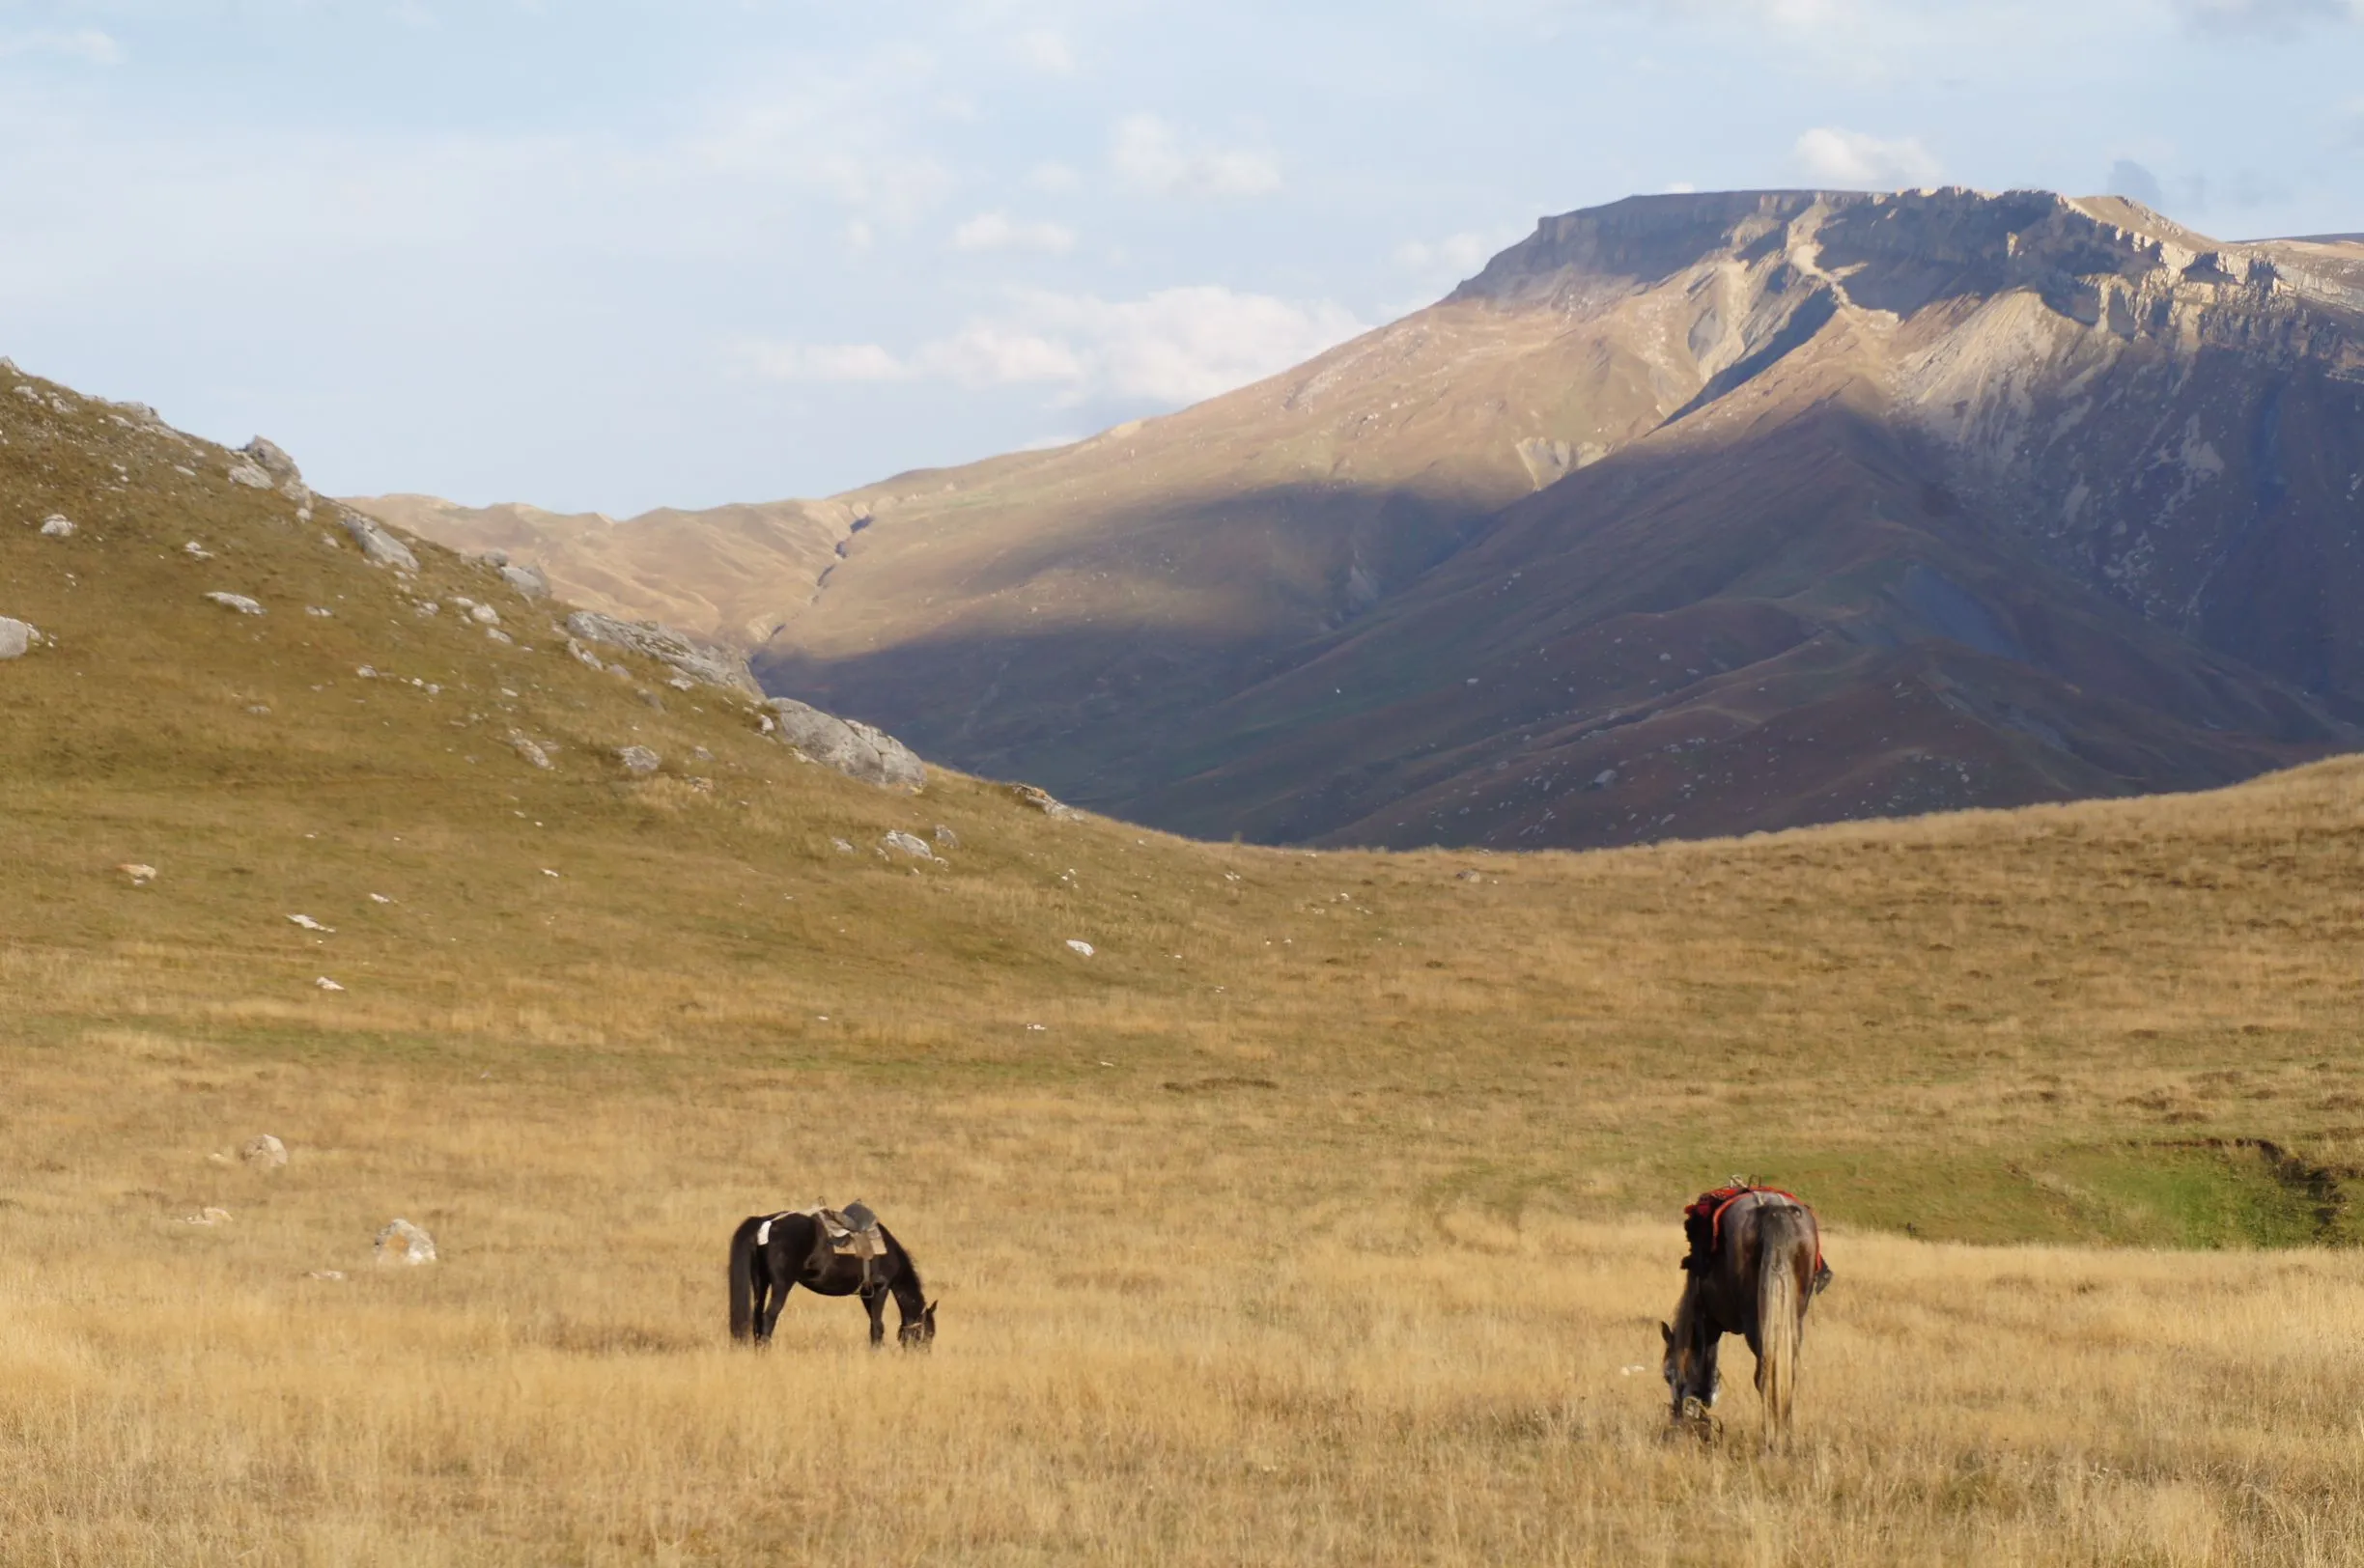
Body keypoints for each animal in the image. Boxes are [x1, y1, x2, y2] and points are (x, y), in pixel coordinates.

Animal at [723, 1211, 936, 1353]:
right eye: (929, 1333)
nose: (922, 1355)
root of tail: (767, 1222)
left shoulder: (866, 1293)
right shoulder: (880, 1288)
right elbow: (877, 1325)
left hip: (761, 1282)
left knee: (757, 1316)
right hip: (781, 1285)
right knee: (769, 1316)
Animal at [1664, 1191, 1824, 1447]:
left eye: (1667, 1374)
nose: (1676, 1415)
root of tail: (1775, 1211)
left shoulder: (1706, 1322)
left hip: (1754, 1321)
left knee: (1764, 1376)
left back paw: (1771, 1441)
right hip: (1793, 1317)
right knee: (1785, 1375)